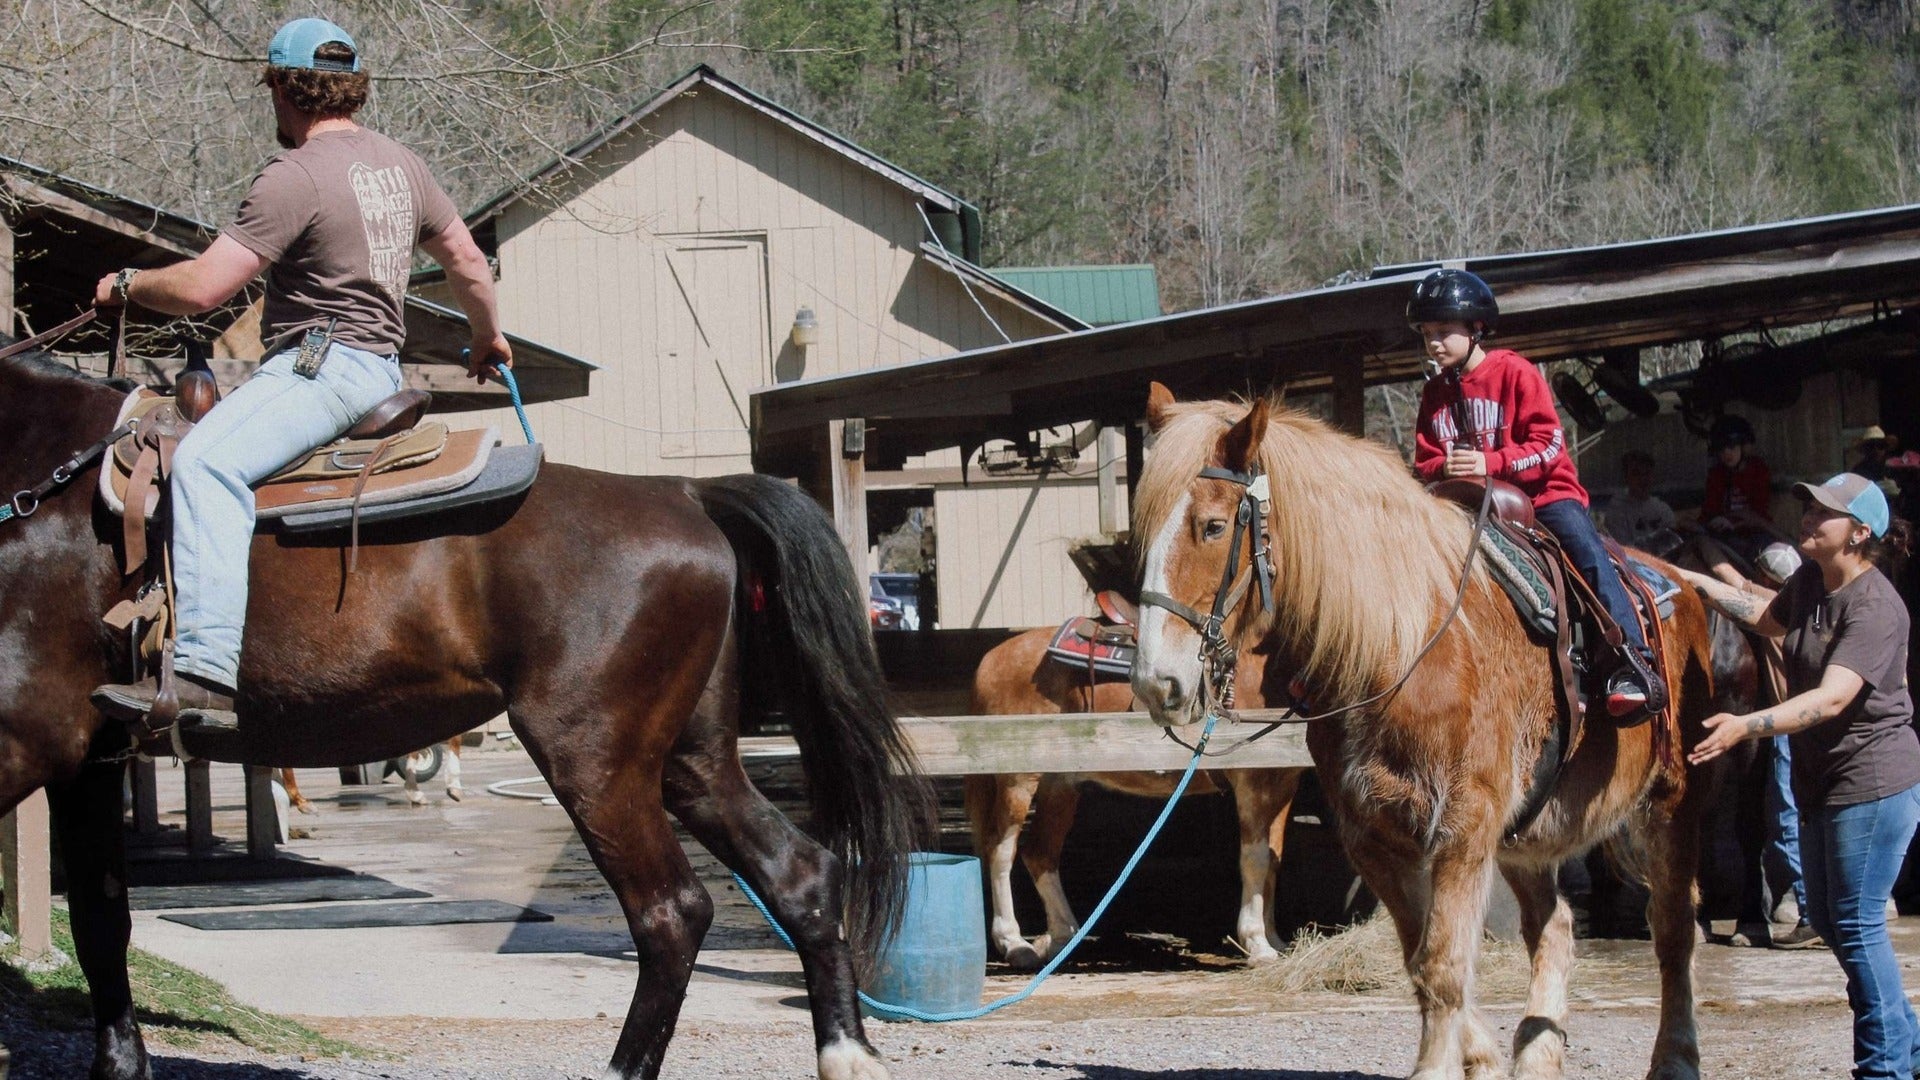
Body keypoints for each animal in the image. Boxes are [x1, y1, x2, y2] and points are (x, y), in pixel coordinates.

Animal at [0, 343, 929, 1076]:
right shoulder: (86, 760)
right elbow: (101, 922)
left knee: (672, 913)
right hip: (691, 761)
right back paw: (847, 1054)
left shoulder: (27, 740)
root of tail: (684, 494)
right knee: (799, 874)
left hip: (596, 760)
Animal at [960, 626, 1305, 960]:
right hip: (1017, 781)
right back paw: (1014, 943)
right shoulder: (1252, 782)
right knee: (1000, 850)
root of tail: (991, 660)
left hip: (1059, 787)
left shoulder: (1283, 784)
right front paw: (1257, 943)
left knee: (1040, 852)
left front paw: (1275, 940)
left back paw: (1062, 936)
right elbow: (1255, 859)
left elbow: (1274, 858)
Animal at [1128, 384, 1720, 1076]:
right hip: (1525, 838)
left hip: (1672, 802)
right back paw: (1537, 1053)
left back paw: (1676, 1056)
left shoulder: (1463, 832)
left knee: (1673, 929)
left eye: (1214, 526)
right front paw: (1482, 1057)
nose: (1156, 682)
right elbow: (1423, 962)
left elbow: (1442, 965)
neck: (1402, 646)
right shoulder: (1377, 839)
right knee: (1554, 929)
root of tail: (1680, 584)